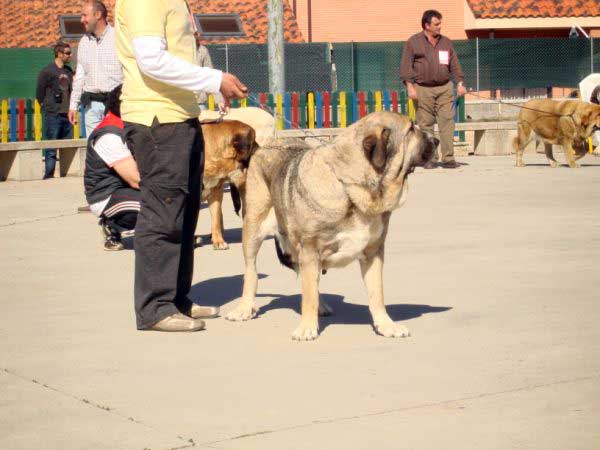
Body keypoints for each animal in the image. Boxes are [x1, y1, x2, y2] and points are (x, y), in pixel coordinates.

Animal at [225, 112, 436, 342]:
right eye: (411, 129)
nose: (436, 140)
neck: (351, 188)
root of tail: (266, 145)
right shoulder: (310, 249)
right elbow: (308, 294)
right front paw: (306, 328)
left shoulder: (373, 252)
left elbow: (377, 293)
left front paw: (386, 325)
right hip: (253, 229)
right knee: (251, 271)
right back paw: (244, 308)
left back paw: (322, 306)